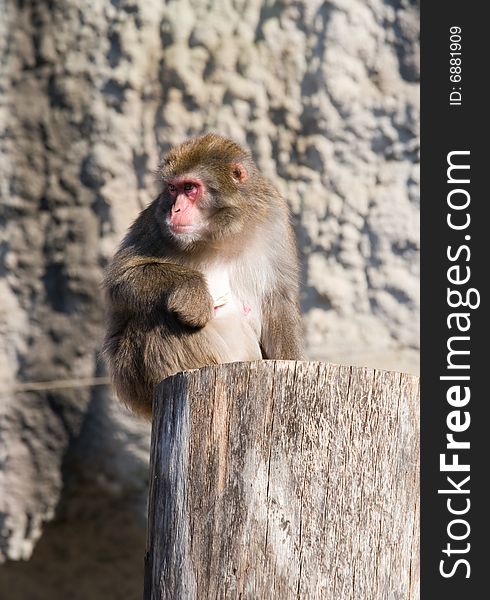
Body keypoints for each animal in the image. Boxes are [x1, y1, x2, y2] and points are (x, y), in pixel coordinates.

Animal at [103, 131, 302, 418]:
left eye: (190, 188)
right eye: (172, 189)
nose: (174, 210)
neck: (221, 233)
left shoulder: (273, 218)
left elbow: (279, 299)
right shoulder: (155, 218)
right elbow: (120, 278)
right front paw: (193, 292)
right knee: (155, 320)